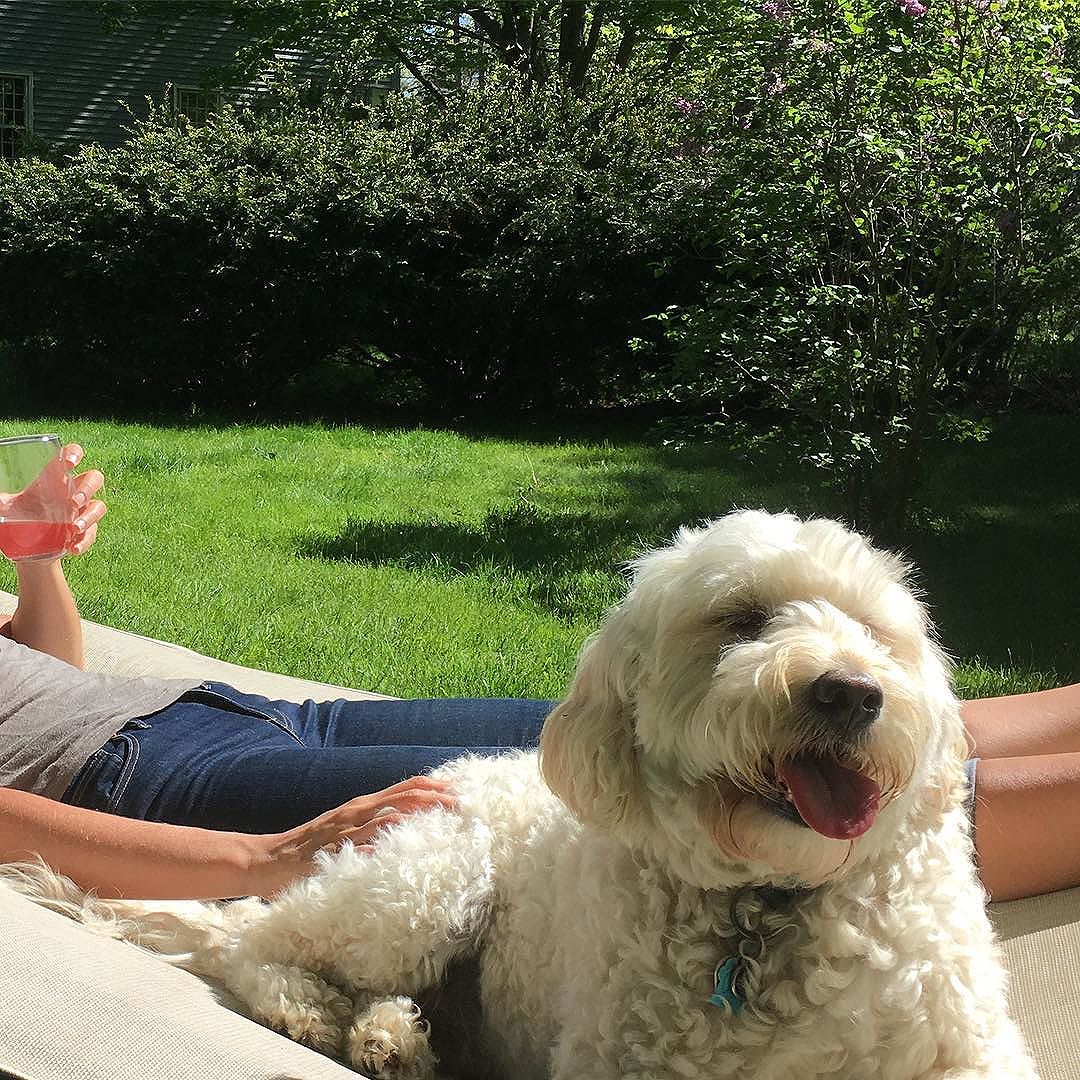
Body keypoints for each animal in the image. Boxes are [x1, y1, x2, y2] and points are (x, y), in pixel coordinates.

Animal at [6, 511, 1036, 1080]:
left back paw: (389, 1036)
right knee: (256, 945)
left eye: (876, 631)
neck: (774, 899)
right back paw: (319, 1014)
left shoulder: (973, 1051)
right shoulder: (618, 1064)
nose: (852, 693)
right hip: (424, 884)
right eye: (743, 619)